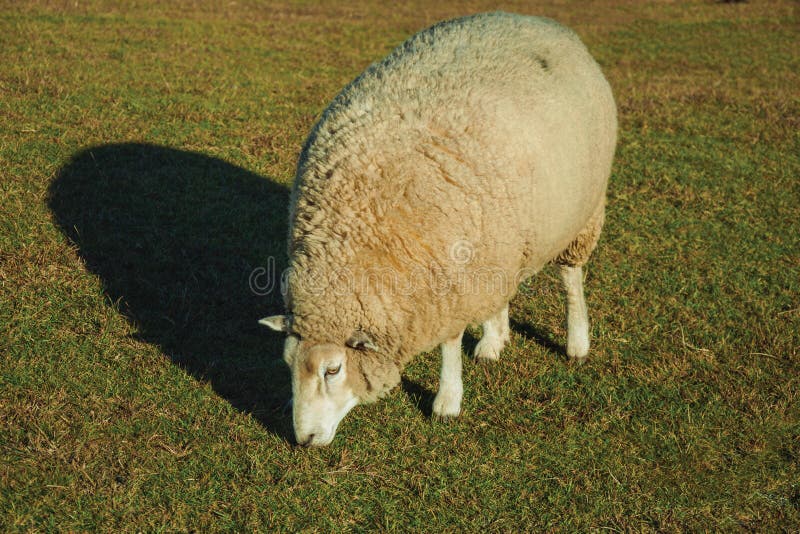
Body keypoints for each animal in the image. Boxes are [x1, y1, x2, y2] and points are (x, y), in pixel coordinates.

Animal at [262, 12, 620, 448]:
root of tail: (533, 19)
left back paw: (576, 342)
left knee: (571, 278)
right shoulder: (460, 272)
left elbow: (449, 344)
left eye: (333, 370)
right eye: (288, 364)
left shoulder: (446, 289)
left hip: (582, 213)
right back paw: (493, 340)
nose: (304, 439)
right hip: (500, 235)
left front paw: (447, 400)